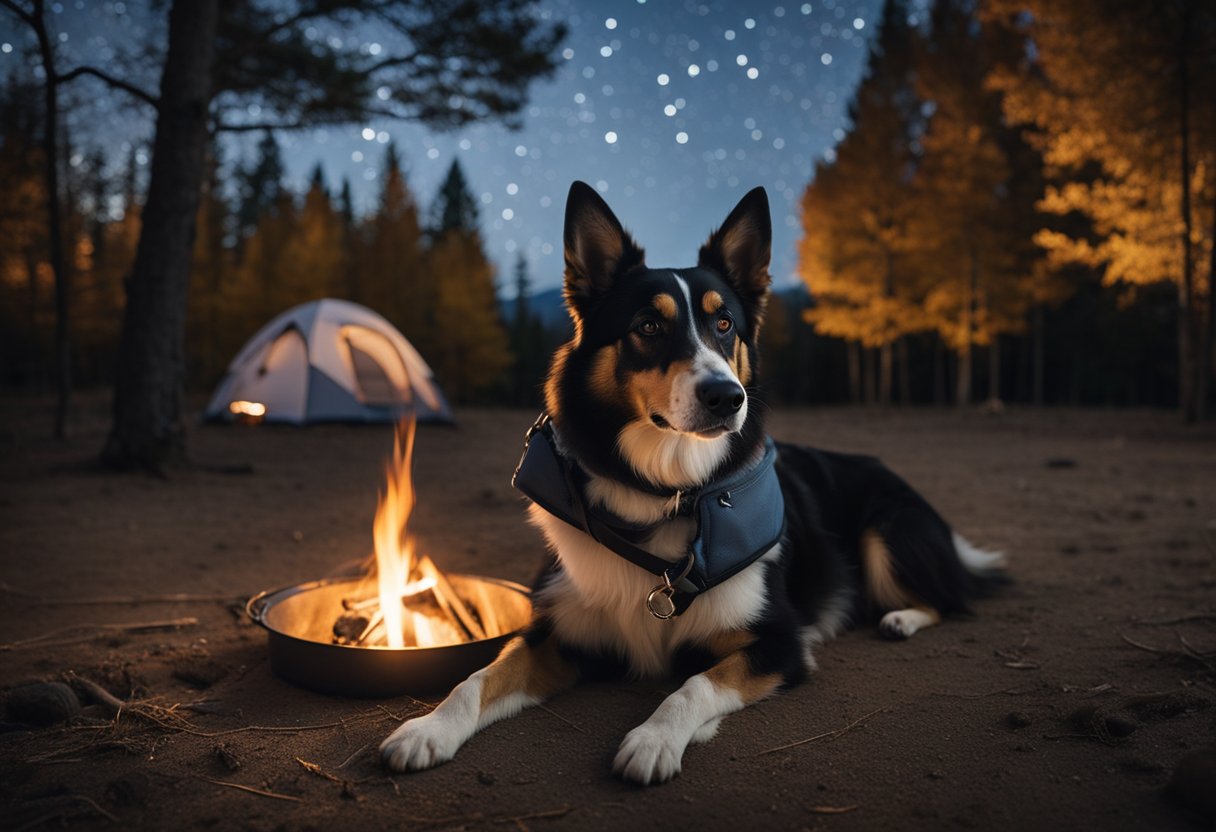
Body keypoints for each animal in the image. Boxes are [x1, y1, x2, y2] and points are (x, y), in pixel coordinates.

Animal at [381, 178, 1006, 783]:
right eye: (648, 326)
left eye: (724, 323)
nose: (728, 397)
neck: (666, 495)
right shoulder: (560, 633)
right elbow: (479, 677)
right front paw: (428, 730)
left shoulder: (781, 643)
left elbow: (693, 685)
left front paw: (654, 740)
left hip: (887, 529)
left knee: (952, 599)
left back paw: (901, 616)